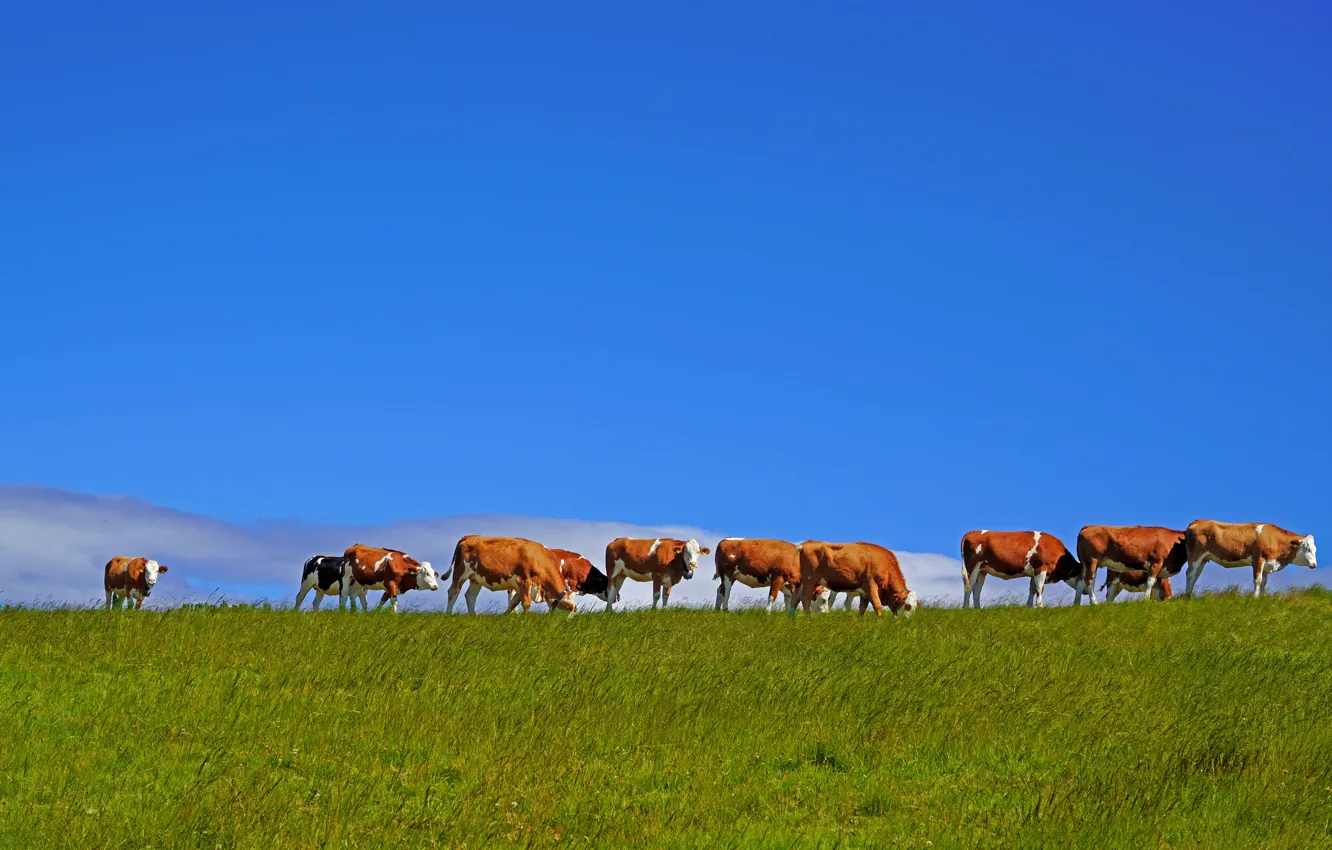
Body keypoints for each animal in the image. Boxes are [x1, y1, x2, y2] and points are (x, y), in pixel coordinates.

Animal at [447, 535, 578, 615]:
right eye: (569, 609)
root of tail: (469, 536)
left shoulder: (520, 588)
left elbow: (513, 604)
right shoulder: (524, 581)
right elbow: (526, 604)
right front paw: (526, 620)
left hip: (476, 578)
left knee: (470, 596)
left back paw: (473, 616)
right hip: (460, 572)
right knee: (453, 592)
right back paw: (448, 614)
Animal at [793, 546, 921, 618]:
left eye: (915, 607)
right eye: (908, 606)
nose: (906, 621)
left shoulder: (863, 593)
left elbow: (861, 609)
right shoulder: (871, 587)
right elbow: (877, 606)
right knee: (827, 600)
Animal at [1182, 519, 1316, 599]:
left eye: (1315, 549)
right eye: (1307, 549)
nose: (1314, 564)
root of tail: (1198, 520)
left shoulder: (1266, 565)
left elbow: (1264, 582)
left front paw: (1262, 598)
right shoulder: (1258, 559)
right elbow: (1258, 580)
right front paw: (1255, 597)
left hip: (1204, 559)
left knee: (1196, 575)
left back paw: (1190, 595)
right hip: (1195, 555)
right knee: (1190, 574)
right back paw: (1187, 595)